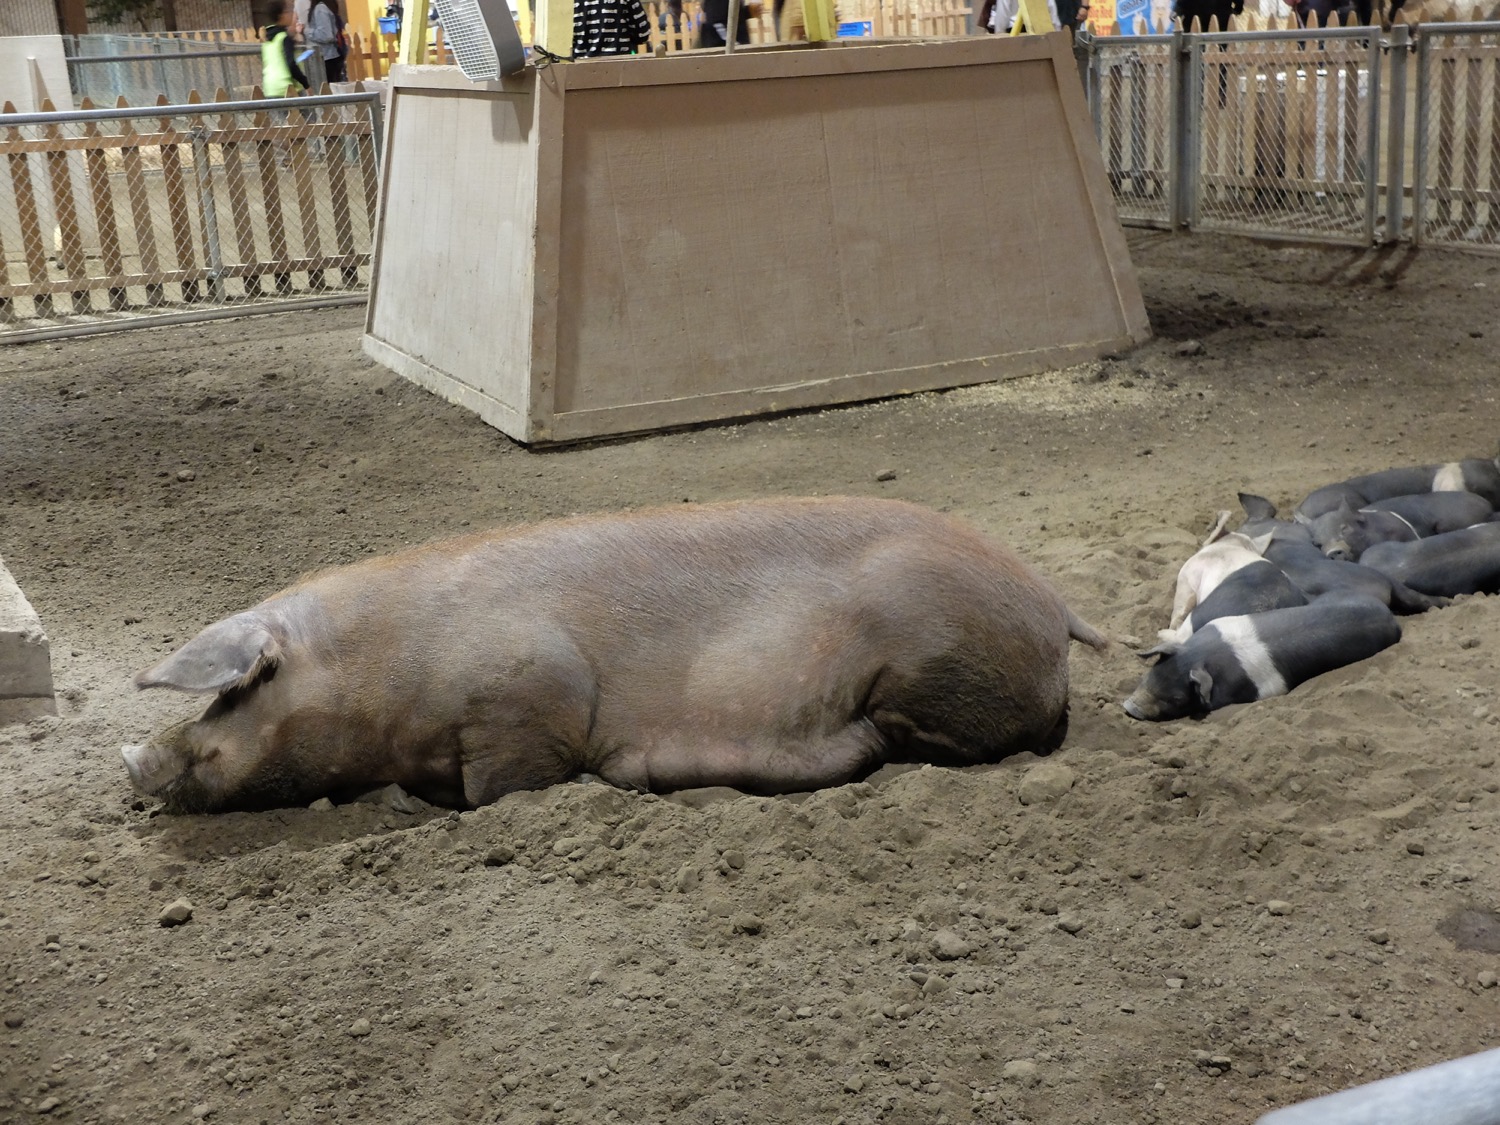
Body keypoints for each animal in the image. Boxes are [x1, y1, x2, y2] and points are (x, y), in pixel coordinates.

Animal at [121, 498, 1109, 813]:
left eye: (238, 692)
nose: (133, 761)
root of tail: (1054, 599)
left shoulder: (529, 693)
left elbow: (497, 788)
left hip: (935, 658)